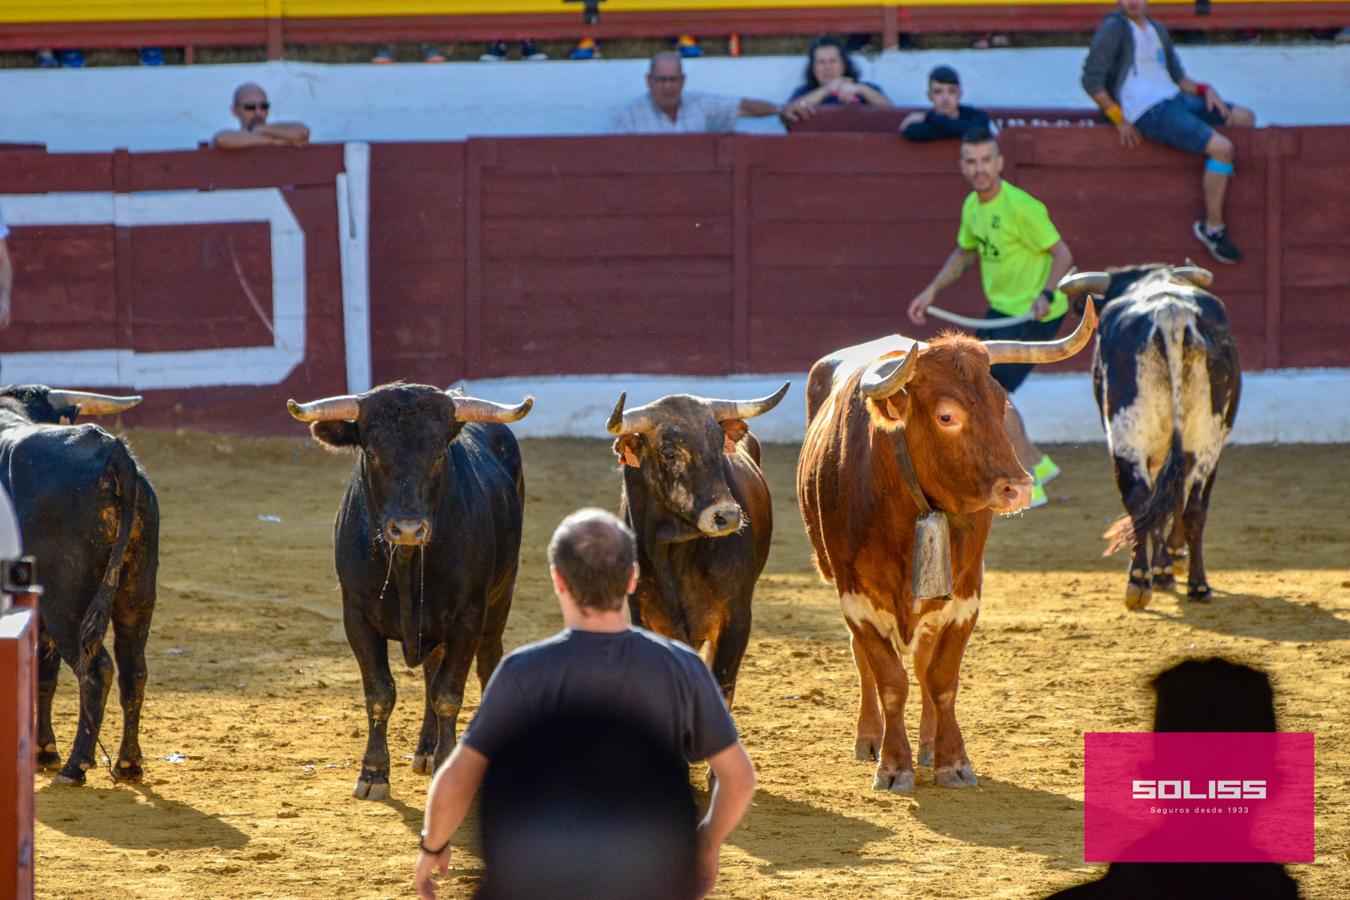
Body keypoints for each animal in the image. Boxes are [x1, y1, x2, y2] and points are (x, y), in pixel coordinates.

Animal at [0, 383, 157, 782]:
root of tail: (113, 452)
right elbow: (43, 672)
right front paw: (43, 751)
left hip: (66, 601)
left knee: (97, 668)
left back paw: (76, 764)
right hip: (136, 589)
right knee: (133, 668)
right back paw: (128, 763)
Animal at [287, 383, 529, 798]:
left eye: (438, 454)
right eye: (372, 452)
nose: (409, 528)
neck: (406, 560)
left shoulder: (468, 615)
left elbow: (448, 694)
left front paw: (445, 768)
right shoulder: (356, 615)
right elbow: (380, 692)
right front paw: (373, 773)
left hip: (501, 595)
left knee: (487, 662)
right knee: (432, 670)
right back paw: (426, 750)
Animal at [607, 383, 788, 707]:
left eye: (718, 447)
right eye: (669, 453)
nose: (727, 516)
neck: (673, 551)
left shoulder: (736, 621)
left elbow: (722, 688)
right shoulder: (644, 617)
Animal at [793, 306, 1090, 793]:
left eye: (1001, 405)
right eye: (947, 415)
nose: (1019, 487)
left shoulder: (966, 593)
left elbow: (941, 678)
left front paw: (952, 759)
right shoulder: (855, 595)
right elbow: (889, 679)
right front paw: (893, 764)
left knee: (924, 662)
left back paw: (929, 745)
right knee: (865, 662)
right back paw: (869, 737)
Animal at [1058, 264, 1236, 609]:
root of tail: (1170, 314)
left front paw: (1165, 567)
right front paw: (1169, 565)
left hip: (1130, 436)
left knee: (1143, 499)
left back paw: (1141, 580)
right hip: (1205, 438)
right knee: (1189, 504)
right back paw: (1196, 584)